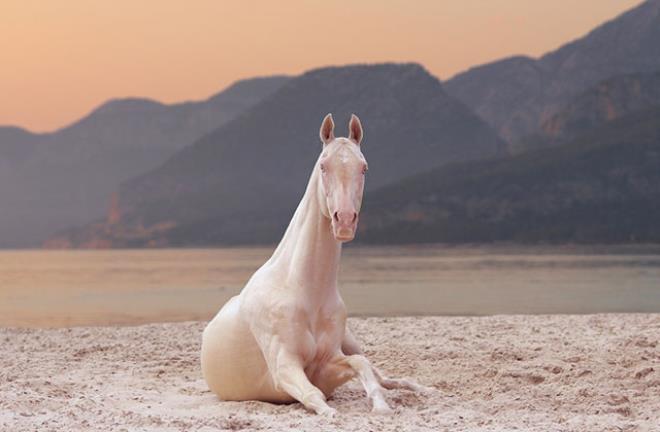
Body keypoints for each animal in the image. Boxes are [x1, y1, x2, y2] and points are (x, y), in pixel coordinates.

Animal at [201, 114, 428, 416]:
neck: (303, 291)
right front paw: (337, 412)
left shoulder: (328, 362)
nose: (344, 221)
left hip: (351, 340)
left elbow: (362, 366)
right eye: (323, 166)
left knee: (383, 373)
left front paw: (380, 405)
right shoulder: (285, 369)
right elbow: (315, 395)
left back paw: (424, 389)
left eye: (364, 167)